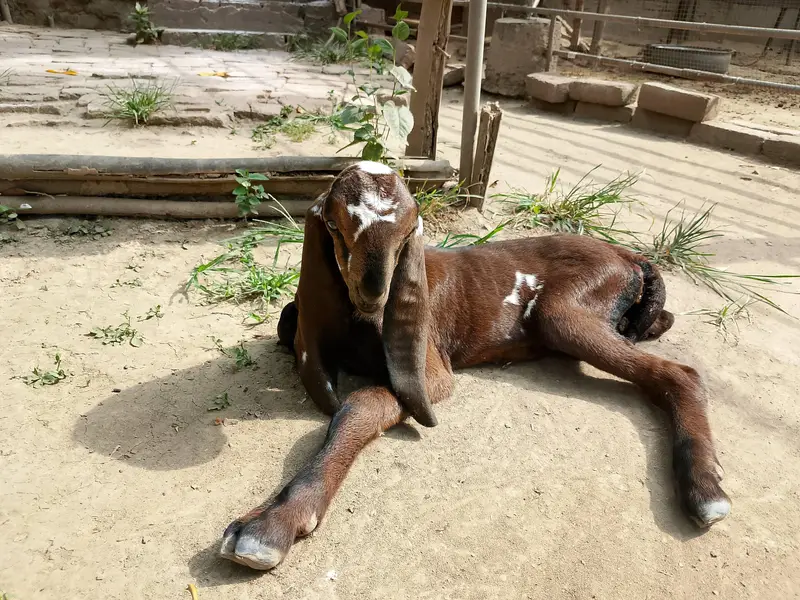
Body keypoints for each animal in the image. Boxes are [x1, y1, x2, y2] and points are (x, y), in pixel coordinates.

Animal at [219, 161, 731, 571]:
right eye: (334, 224)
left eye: (409, 231)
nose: (374, 292)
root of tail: (630, 255)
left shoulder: (429, 372)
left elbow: (361, 406)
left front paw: (270, 526)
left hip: (562, 312)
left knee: (679, 373)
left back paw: (705, 491)